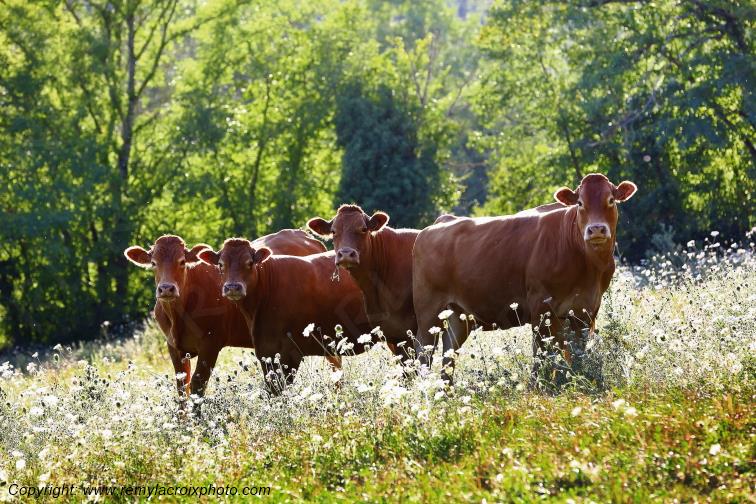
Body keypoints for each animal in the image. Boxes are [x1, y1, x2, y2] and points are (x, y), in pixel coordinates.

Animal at [124, 229, 329, 400]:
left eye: (182, 262)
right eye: (153, 263)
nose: (166, 289)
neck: (179, 314)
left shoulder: (210, 343)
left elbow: (197, 384)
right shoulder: (173, 346)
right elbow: (182, 387)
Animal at [412, 173, 637, 384]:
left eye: (611, 200)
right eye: (580, 203)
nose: (596, 229)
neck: (587, 265)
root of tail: (438, 223)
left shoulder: (586, 309)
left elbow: (574, 353)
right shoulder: (542, 307)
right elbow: (542, 353)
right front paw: (539, 385)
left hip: (458, 316)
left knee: (448, 356)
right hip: (429, 312)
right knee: (423, 353)